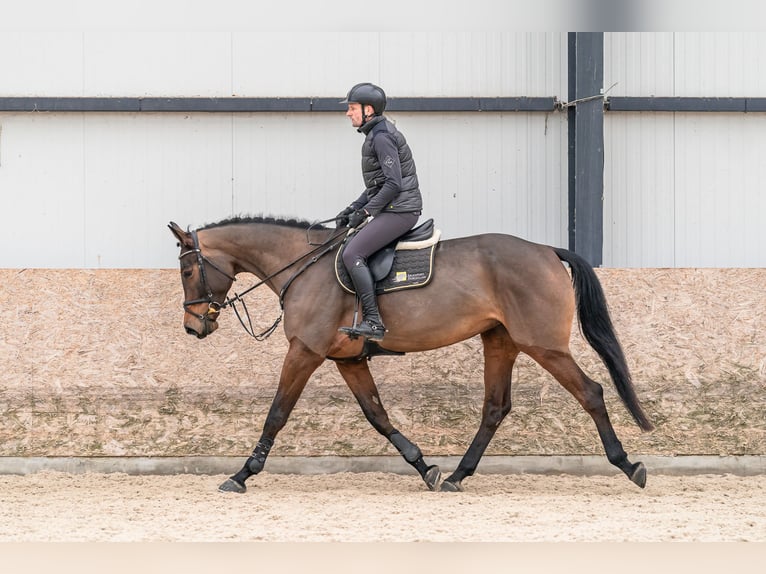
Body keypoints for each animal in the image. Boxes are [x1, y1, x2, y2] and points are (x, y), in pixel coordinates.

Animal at [168, 216, 653, 494]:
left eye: (188, 270)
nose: (194, 327)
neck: (304, 268)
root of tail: (546, 250)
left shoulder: (304, 352)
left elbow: (276, 414)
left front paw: (241, 475)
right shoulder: (348, 360)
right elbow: (377, 415)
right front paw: (425, 468)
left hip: (543, 345)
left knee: (591, 392)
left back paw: (629, 466)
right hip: (500, 341)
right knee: (495, 408)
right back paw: (456, 477)